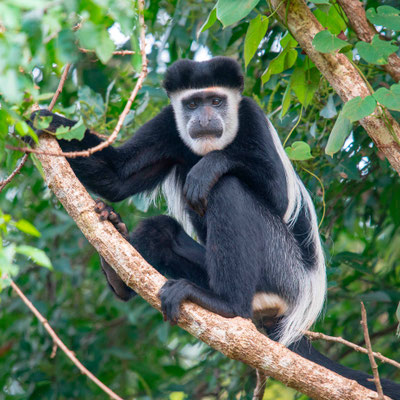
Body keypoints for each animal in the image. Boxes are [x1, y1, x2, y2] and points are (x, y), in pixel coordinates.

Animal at [31, 57, 400, 398]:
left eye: (216, 101)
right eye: (193, 104)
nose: (204, 117)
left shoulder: (251, 116)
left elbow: (277, 192)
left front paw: (209, 167)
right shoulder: (169, 122)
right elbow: (117, 176)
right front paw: (44, 122)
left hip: (282, 269)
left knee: (228, 188)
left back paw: (225, 304)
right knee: (158, 231)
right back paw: (117, 264)